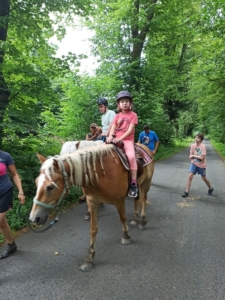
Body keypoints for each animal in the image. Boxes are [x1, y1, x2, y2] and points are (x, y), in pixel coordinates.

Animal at [29, 144, 154, 272]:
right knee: (136, 200)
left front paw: (126, 236)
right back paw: (135, 218)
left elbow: (122, 219)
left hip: (146, 184)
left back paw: (142, 220)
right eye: (36, 182)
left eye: (50, 187)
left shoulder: (119, 201)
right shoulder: (92, 203)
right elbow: (93, 229)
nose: (34, 218)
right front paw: (89, 258)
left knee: (142, 199)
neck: (101, 175)